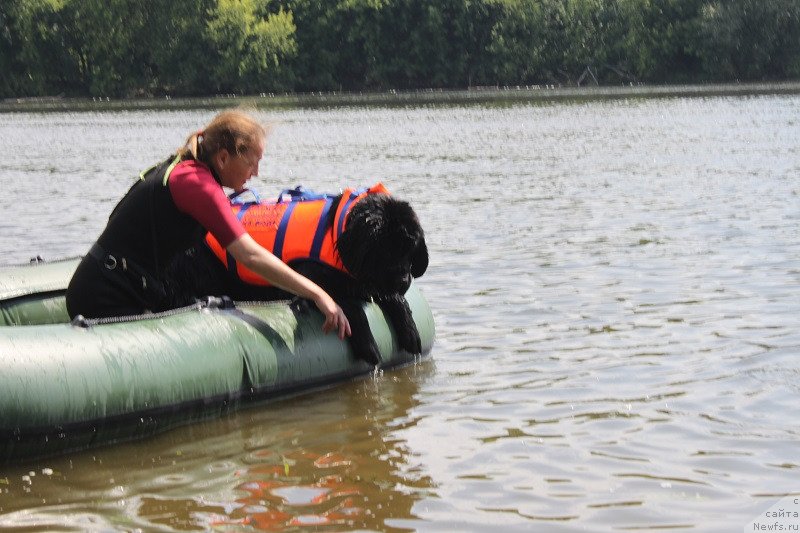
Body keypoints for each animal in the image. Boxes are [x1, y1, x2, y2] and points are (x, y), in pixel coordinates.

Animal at [161, 185, 424, 364]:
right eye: (385, 250)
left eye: (409, 249)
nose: (403, 280)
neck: (335, 233)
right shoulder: (309, 276)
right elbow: (344, 302)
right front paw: (369, 346)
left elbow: (392, 297)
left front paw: (411, 331)